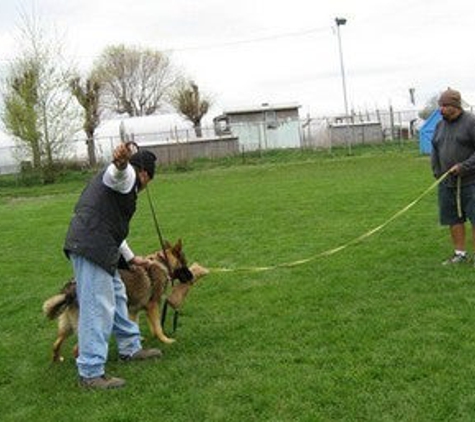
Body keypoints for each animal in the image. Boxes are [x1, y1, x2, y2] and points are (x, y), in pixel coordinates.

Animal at [42, 241, 208, 362]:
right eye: (185, 263)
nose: (192, 277)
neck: (162, 263)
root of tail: (69, 289)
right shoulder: (153, 306)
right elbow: (158, 327)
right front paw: (165, 340)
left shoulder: (135, 310)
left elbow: (139, 325)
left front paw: (140, 339)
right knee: (77, 349)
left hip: (68, 326)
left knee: (57, 343)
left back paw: (57, 359)